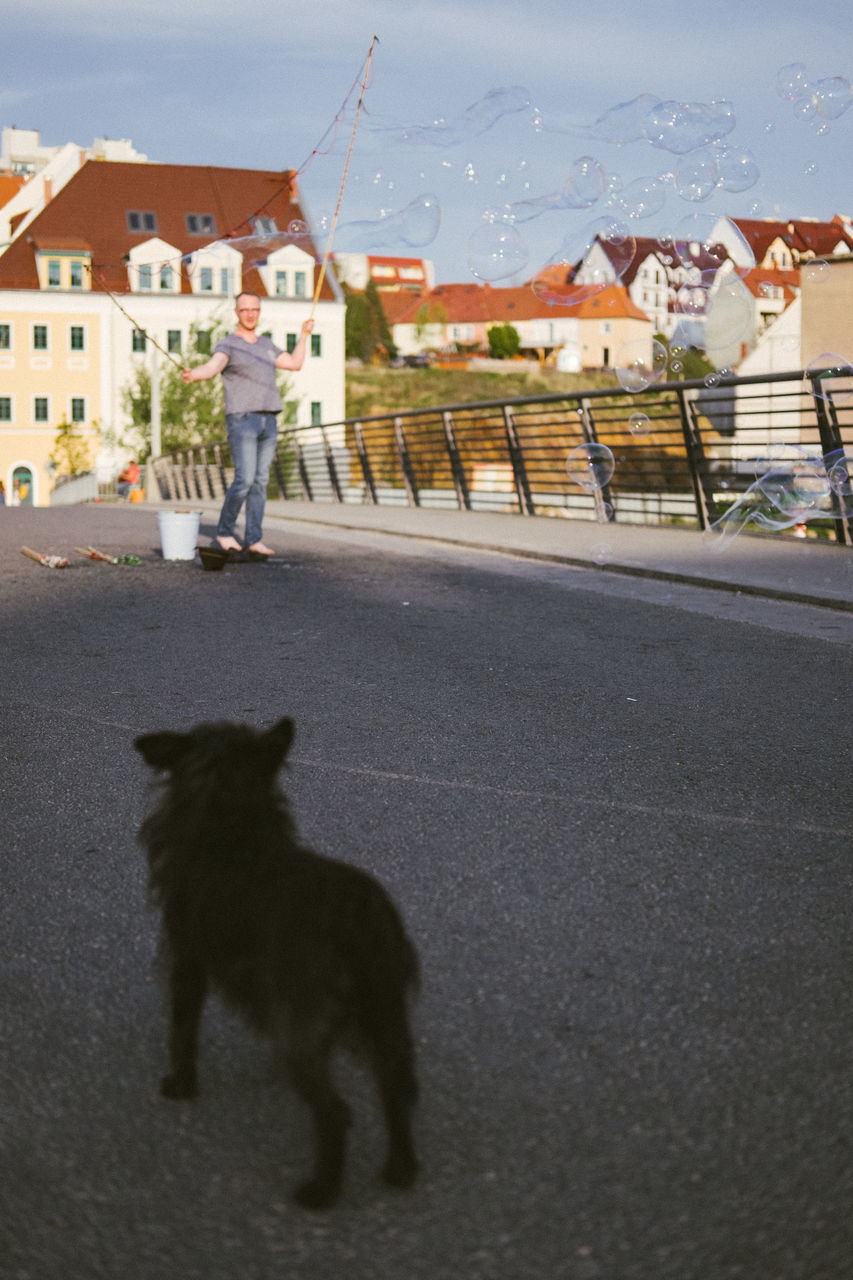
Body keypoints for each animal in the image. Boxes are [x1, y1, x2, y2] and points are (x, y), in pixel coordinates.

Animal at [131, 721, 417, 1208]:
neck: (235, 823)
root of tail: (355, 915)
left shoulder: (188, 961)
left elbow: (182, 1030)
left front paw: (180, 1086)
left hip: (303, 1031)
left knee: (335, 1111)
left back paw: (321, 1192)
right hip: (382, 1012)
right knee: (394, 1087)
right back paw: (399, 1169)